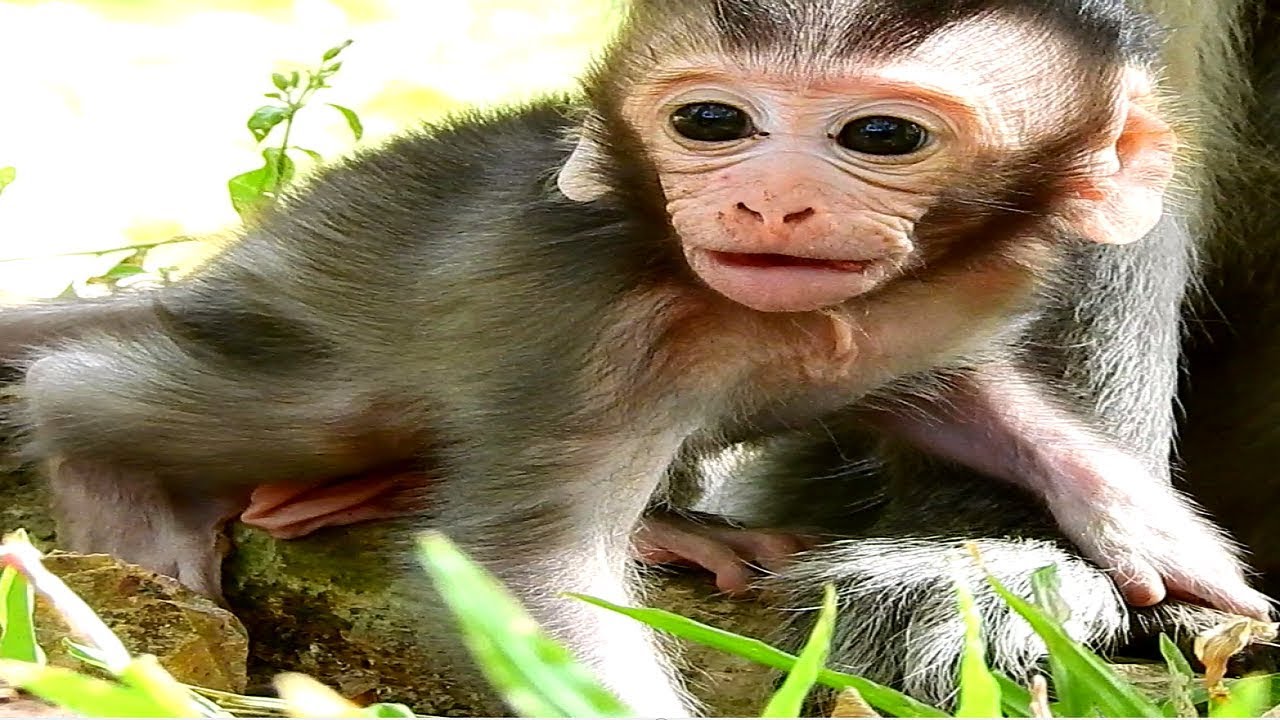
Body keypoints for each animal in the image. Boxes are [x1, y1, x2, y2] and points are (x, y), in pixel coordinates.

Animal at [0, 0, 1267, 713]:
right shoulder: (604, 336)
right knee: (190, 398)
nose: (765, 204)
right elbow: (529, 571)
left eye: (880, 135)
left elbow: (955, 397)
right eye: (710, 123)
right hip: (293, 347)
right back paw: (112, 470)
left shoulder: (928, 316)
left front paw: (1140, 524)